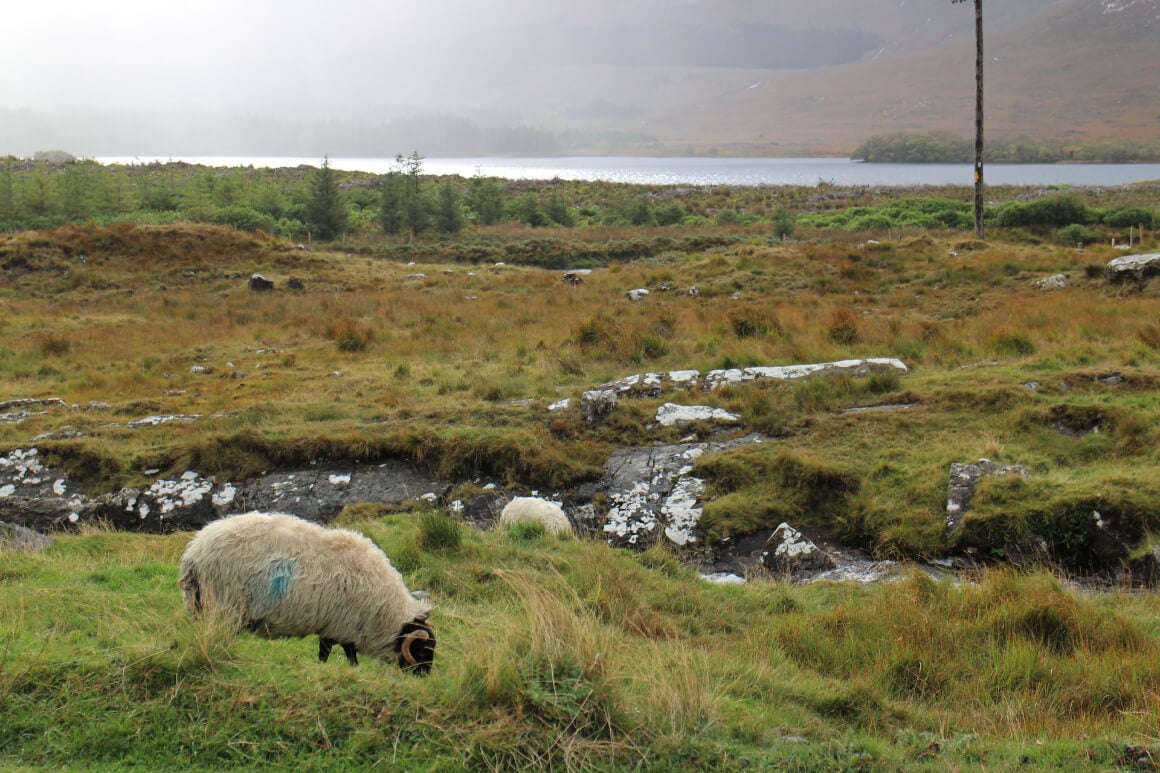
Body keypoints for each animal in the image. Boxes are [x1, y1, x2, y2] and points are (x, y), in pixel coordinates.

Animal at [176, 510, 436, 668]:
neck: (385, 610)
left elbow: (330, 652)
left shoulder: (334, 625)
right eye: (423, 651)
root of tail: (194, 551)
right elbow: (342, 653)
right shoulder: (343, 624)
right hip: (224, 603)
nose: (423, 678)